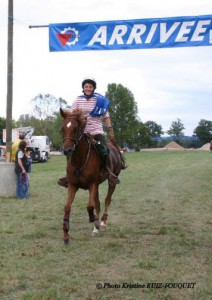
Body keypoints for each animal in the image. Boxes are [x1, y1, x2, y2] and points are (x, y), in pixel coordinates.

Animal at [59, 108, 122, 244]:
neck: (80, 159)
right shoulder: (73, 185)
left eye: (76, 128)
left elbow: (90, 206)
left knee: (107, 199)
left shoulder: (92, 184)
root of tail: (113, 146)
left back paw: (102, 223)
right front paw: (66, 234)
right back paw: (96, 227)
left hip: (111, 180)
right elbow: (67, 207)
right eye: (62, 128)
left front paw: (95, 220)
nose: (67, 150)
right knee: (98, 203)